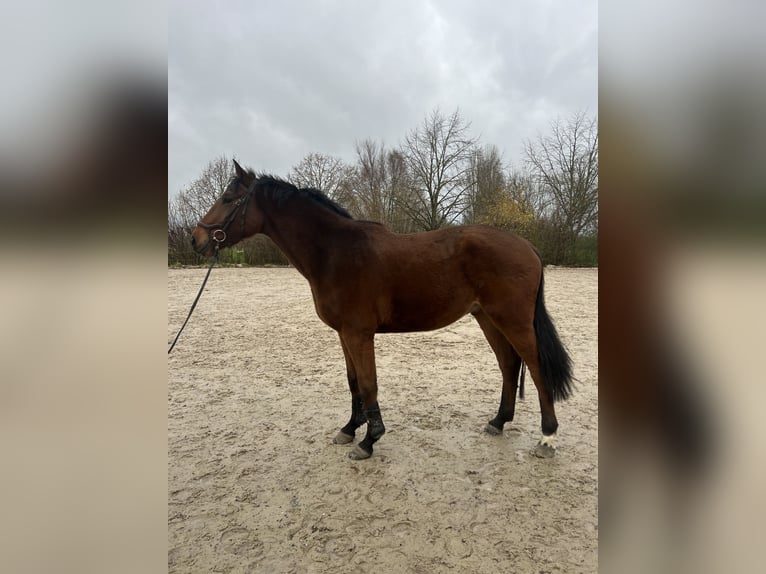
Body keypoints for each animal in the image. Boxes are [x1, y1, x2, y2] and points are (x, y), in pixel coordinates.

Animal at [195, 160, 572, 462]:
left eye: (227, 199)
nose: (196, 239)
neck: (335, 253)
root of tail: (527, 246)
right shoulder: (344, 335)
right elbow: (353, 383)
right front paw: (350, 429)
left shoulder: (359, 334)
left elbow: (369, 384)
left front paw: (369, 440)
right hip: (487, 318)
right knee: (509, 365)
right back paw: (498, 421)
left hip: (513, 320)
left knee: (536, 369)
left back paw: (548, 437)